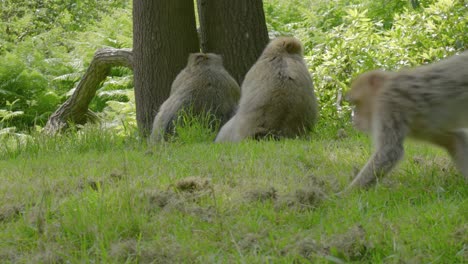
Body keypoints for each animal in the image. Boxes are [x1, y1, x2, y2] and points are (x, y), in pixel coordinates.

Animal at [348, 51, 468, 188]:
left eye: (356, 104)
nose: (354, 118)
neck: (383, 89)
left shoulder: (388, 105)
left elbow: (389, 151)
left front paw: (347, 193)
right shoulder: (420, 127)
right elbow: (454, 140)